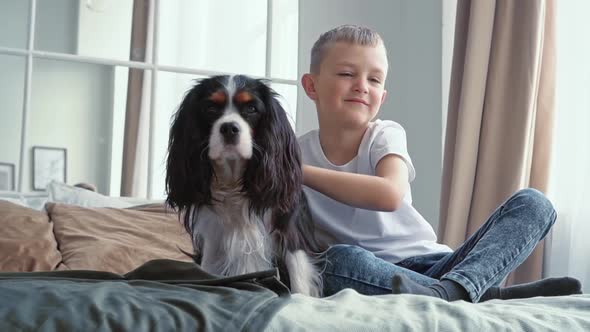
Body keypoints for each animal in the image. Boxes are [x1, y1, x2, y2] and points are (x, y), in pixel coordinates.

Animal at [165, 74, 324, 296]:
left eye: (251, 109)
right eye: (210, 108)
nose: (229, 128)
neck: (233, 181)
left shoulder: (290, 231)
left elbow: (298, 280)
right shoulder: (213, 239)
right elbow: (208, 271)